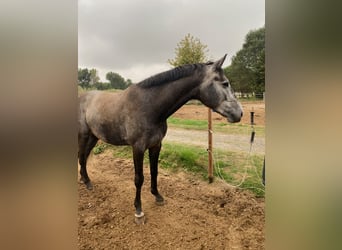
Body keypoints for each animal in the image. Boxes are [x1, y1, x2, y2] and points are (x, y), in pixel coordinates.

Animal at [78, 54, 242, 223]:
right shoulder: (138, 148)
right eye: (225, 83)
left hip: (94, 136)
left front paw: (157, 196)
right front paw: (138, 210)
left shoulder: (156, 145)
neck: (149, 107)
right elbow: (139, 178)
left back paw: (85, 180)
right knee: (81, 156)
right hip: (84, 135)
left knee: (84, 156)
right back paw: (87, 182)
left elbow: (154, 171)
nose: (239, 113)